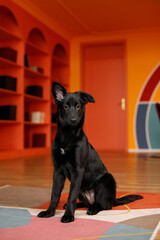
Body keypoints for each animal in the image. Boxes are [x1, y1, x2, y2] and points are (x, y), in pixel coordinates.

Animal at [37, 82, 142, 223]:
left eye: (78, 106)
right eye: (65, 106)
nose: (73, 120)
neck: (67, 137)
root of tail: (113, 200)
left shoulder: (78, 170)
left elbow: (71, 196)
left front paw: (68, 216)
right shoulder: (58, 170)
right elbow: (55, 194)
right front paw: (49, 212)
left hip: (106, 180)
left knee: (103, 205)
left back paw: (93, 209)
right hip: (82, 190)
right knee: (86, 201)